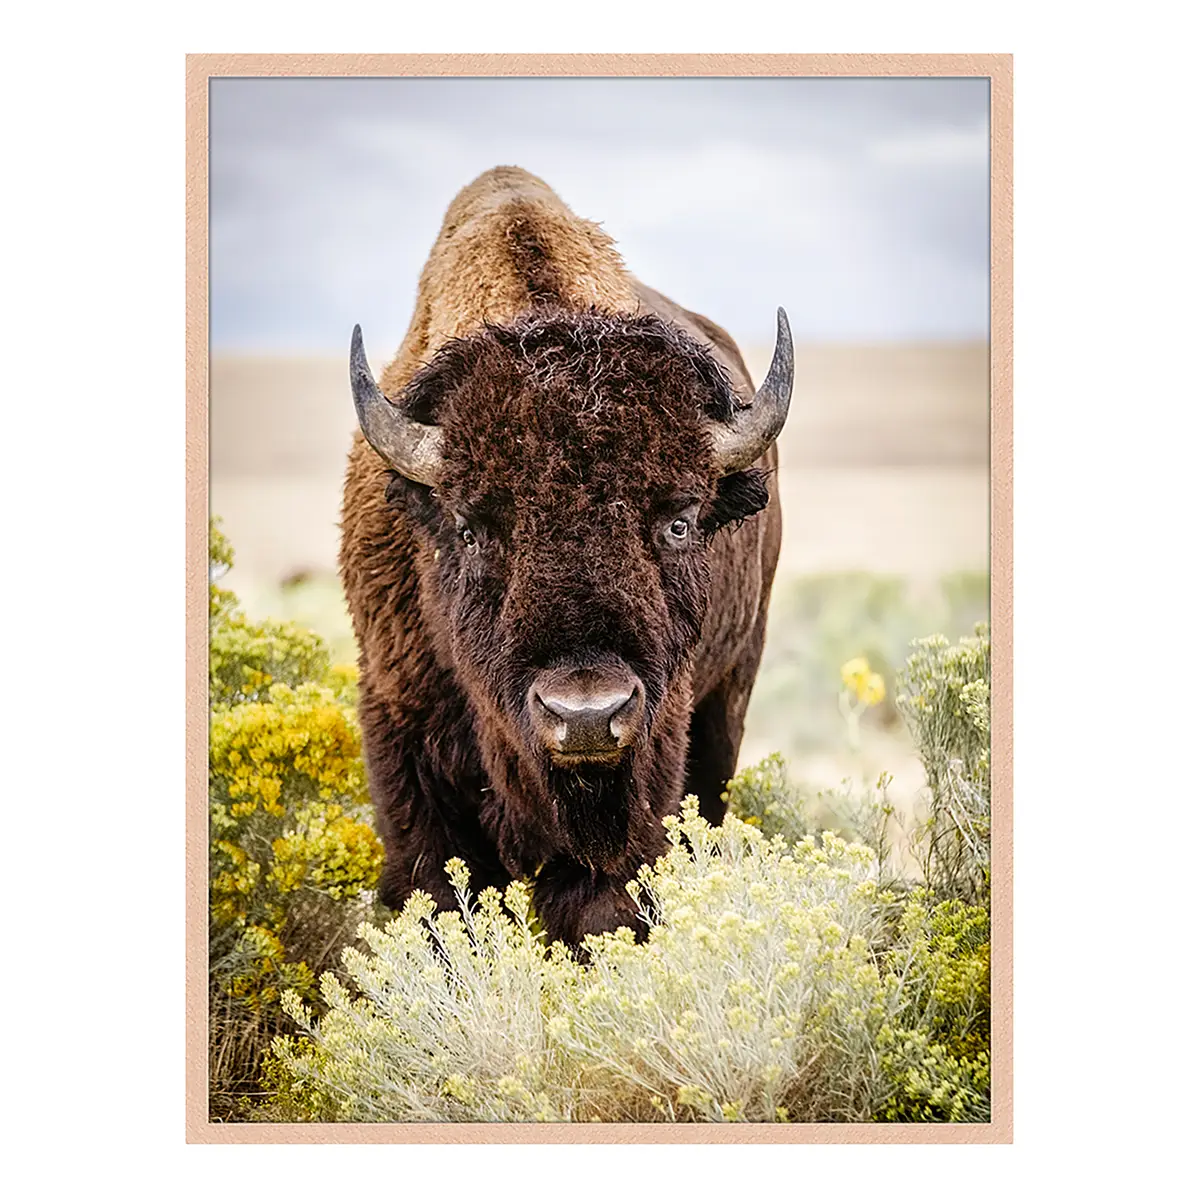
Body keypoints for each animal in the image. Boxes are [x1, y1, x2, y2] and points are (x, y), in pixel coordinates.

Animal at [339, 166, 792, 944]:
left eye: (680, 521)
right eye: (470, 528)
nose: (584, 715)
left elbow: (602, 904)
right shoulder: (402, 737)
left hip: (730, 695)